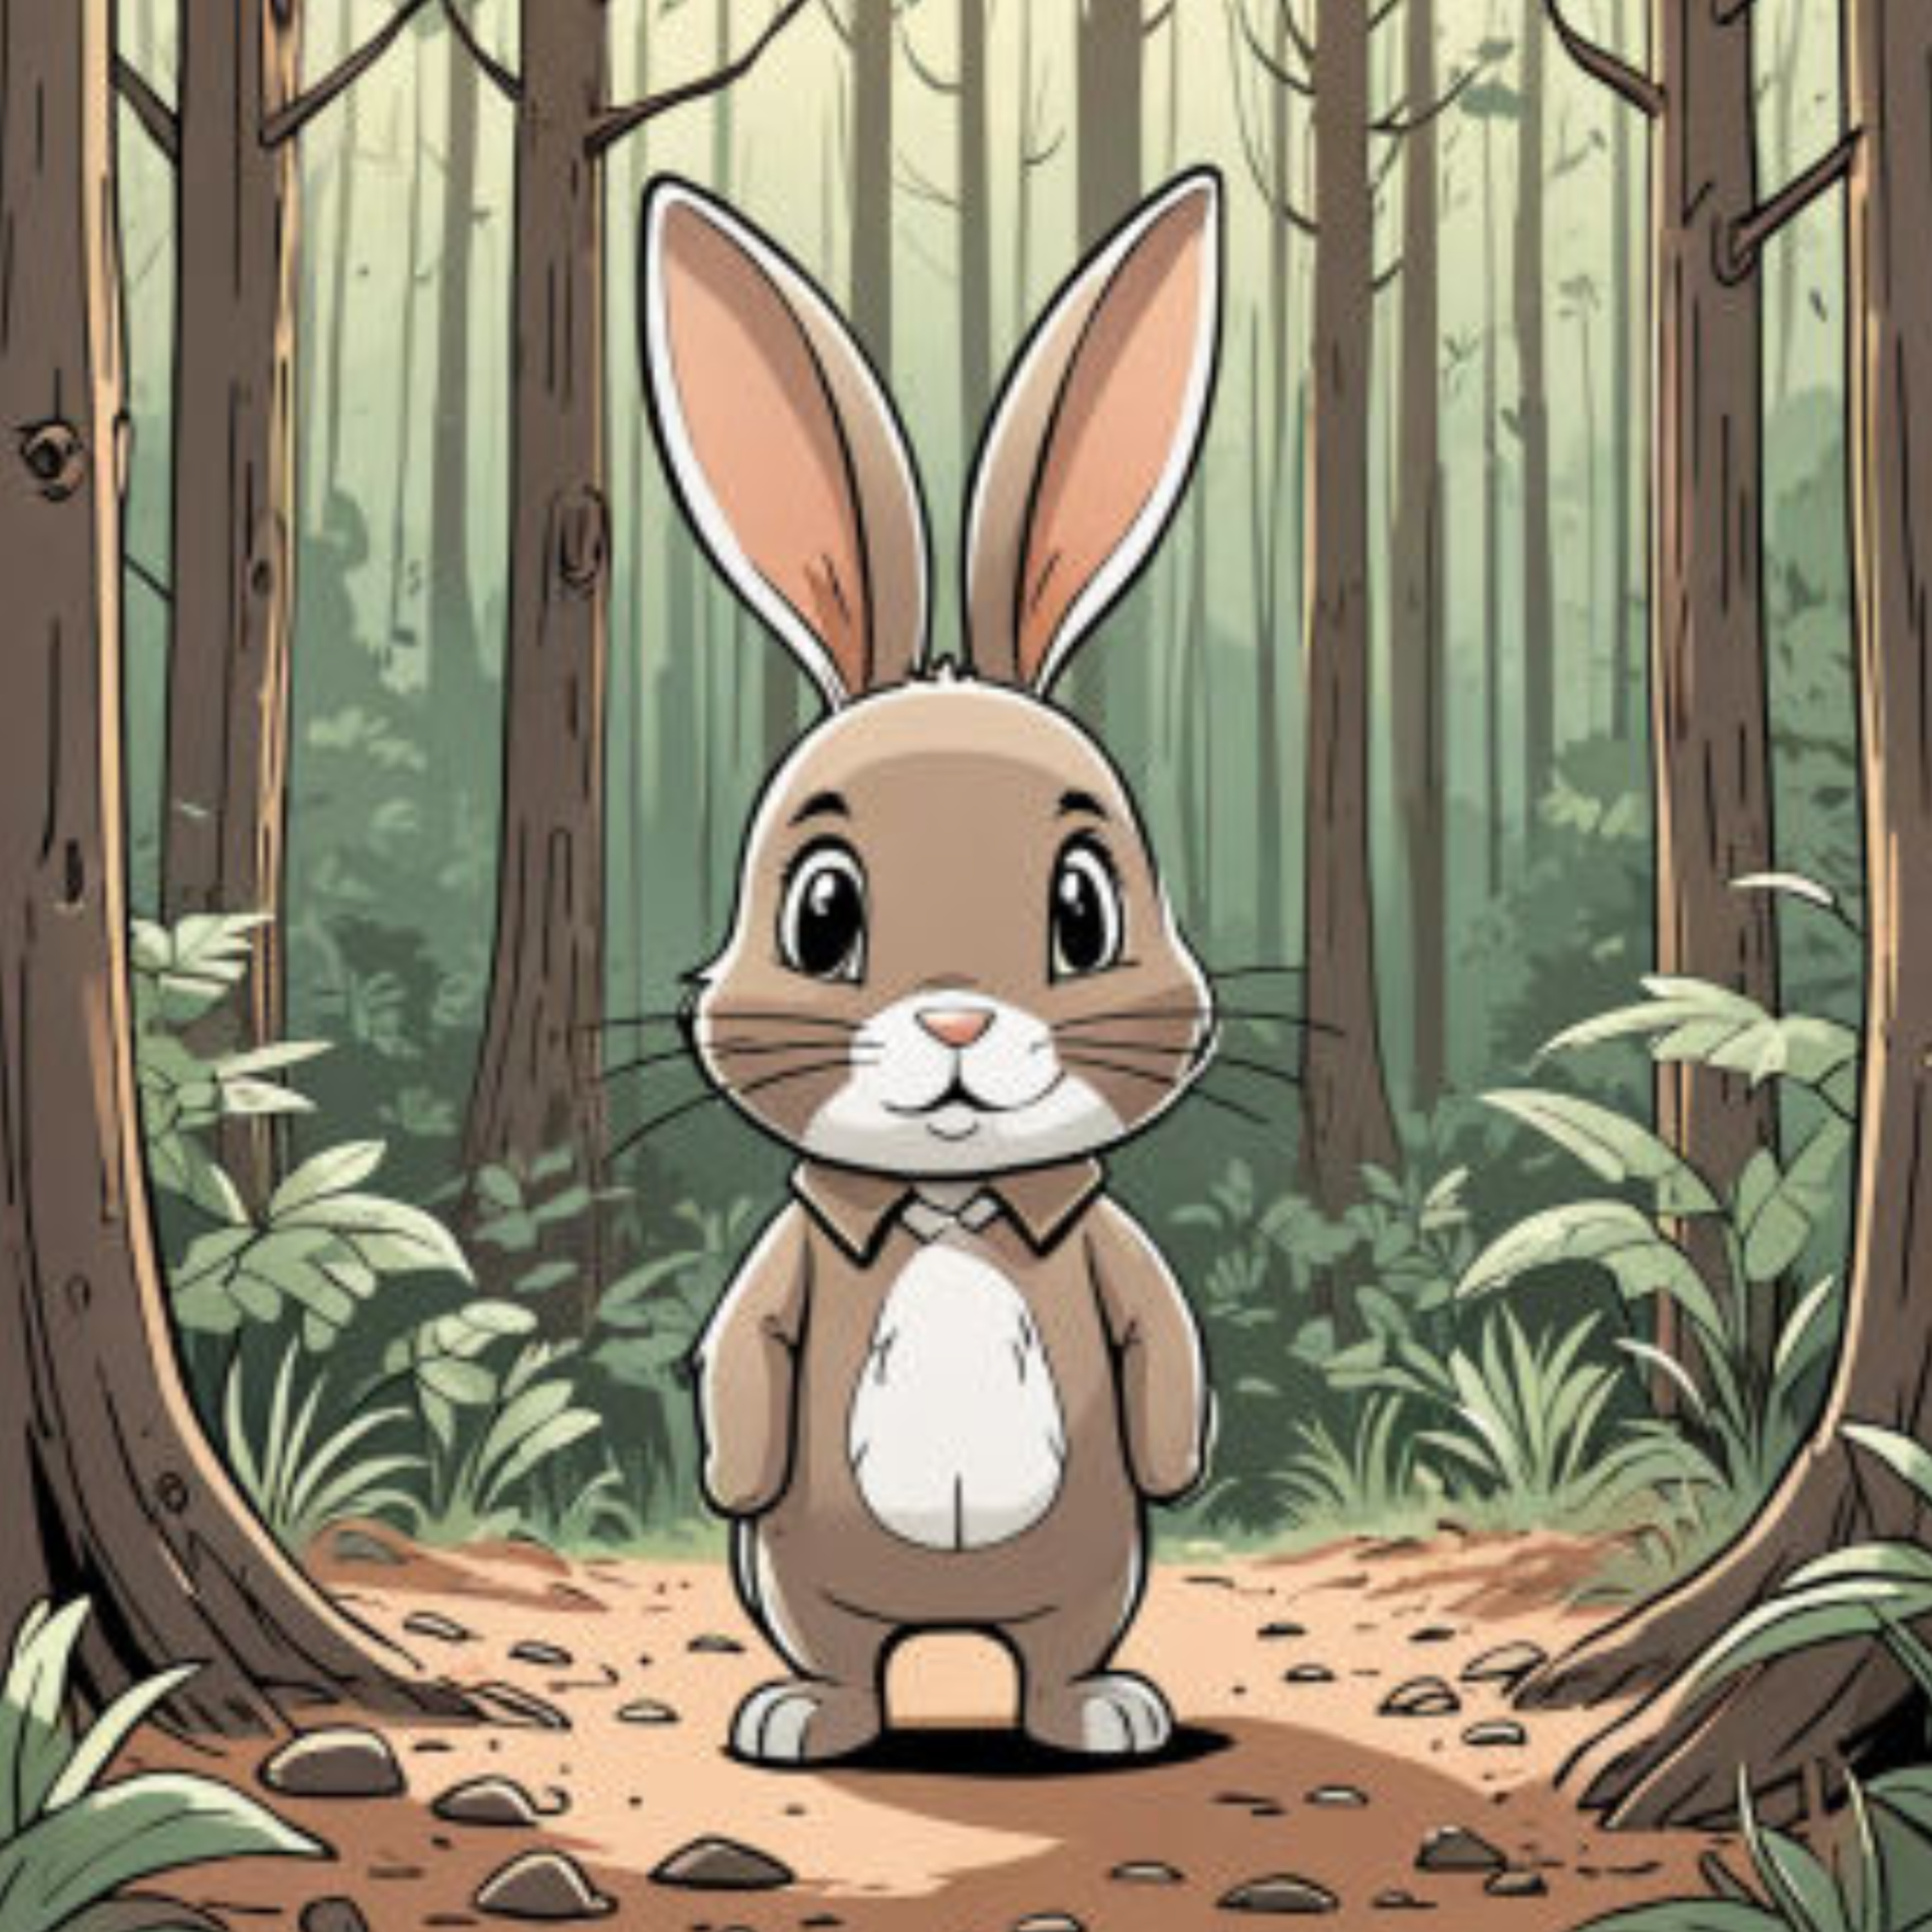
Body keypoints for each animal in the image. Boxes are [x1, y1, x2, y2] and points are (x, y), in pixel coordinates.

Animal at [638, 164, 1224, 1765]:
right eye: (823, 914)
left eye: (1083, 910)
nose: (958, 1022)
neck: (949, 1208)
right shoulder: (787, 1275)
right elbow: (744, 1358)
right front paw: (719, 1466)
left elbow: (1158, 1332)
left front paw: (1183, 1449)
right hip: (806, 1585)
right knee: (845, 1657)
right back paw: (804, 1719)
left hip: (1093, 1575)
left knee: (1058, 1650)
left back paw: (1098, 1715)